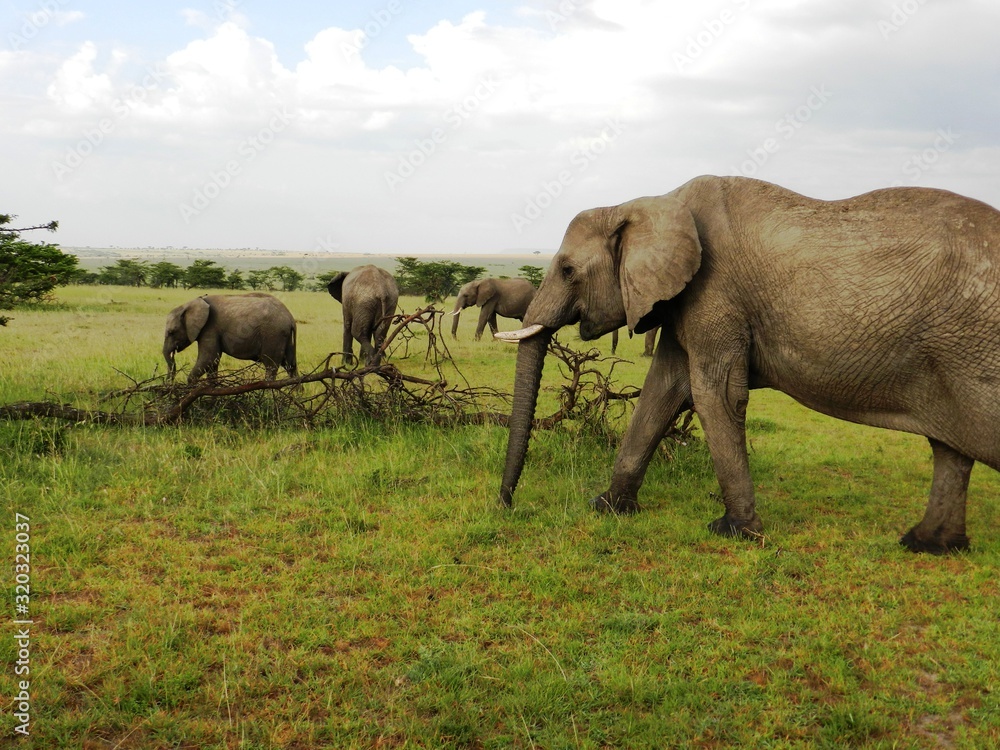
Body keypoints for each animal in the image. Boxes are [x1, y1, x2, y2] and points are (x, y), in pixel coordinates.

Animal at [162, 294, 296, 384]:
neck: (190, 303)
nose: (169, 383)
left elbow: (208, 358)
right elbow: (212, 362)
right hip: (285, 338)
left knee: (271, 366)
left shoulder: (210, 328)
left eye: (171, 332)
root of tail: (290, 318)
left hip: (273, 335)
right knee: (290, 365)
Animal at [496, 175, 1000, 552]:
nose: (506, 504)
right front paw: (608, 507)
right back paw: (928, 545)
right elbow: (663, 391)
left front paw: (734, 531)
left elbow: (713, 394)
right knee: (948, 448)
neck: (650, 201)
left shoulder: (714, 292)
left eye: (567, 270)